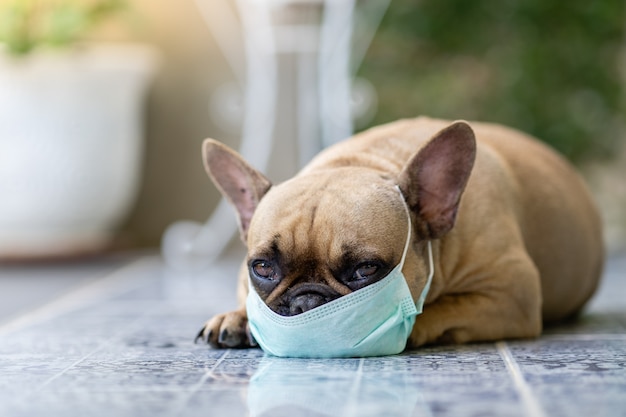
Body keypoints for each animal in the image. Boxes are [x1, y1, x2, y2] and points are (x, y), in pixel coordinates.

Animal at [194, 116, 600, 348]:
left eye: (365, 269)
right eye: (262, 267)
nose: (305, 302)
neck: (368, 162)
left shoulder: (511, 293)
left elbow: (441, 307)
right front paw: (237, 316)